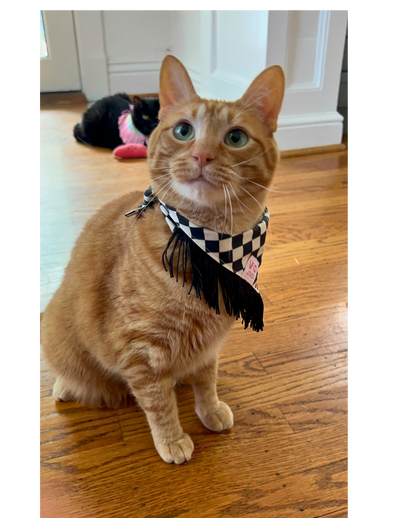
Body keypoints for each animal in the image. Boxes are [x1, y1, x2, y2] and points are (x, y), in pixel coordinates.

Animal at [40, 54, 284, 466]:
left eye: (235, 137)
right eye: (184, 131)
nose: (202, 155)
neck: (204, 246)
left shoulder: (208, 346)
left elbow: (206, 380)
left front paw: (209, 409)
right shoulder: (141, 353)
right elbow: (158, 403)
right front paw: (171, 439)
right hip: (61, 338)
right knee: (73, 372)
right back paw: (64, 386)